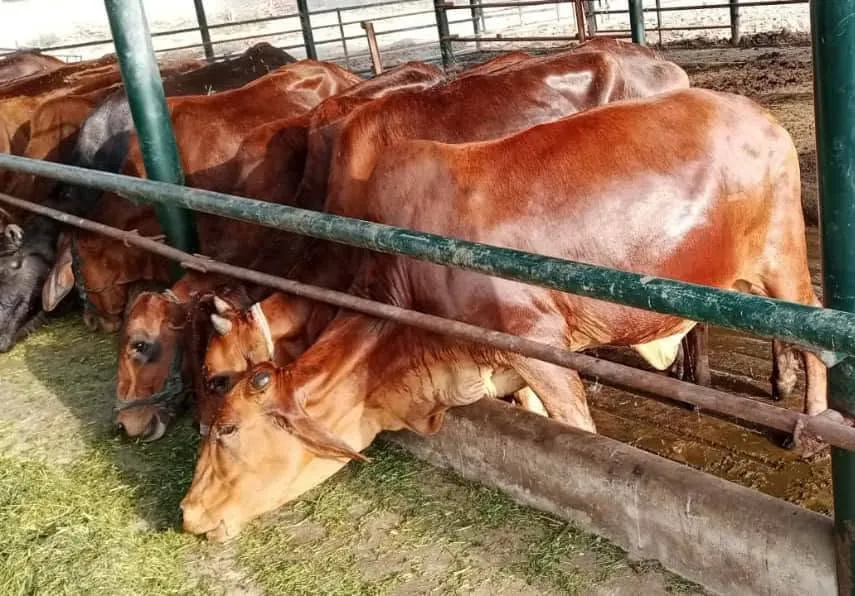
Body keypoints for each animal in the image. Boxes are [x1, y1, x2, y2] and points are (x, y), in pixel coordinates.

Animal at [179, 88, 826, 541]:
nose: (189, 512)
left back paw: (810, 426)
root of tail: (757, 112)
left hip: (781, 257)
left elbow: (576, 429)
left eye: (226, 426)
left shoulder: (540, 344)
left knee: (814, 327)